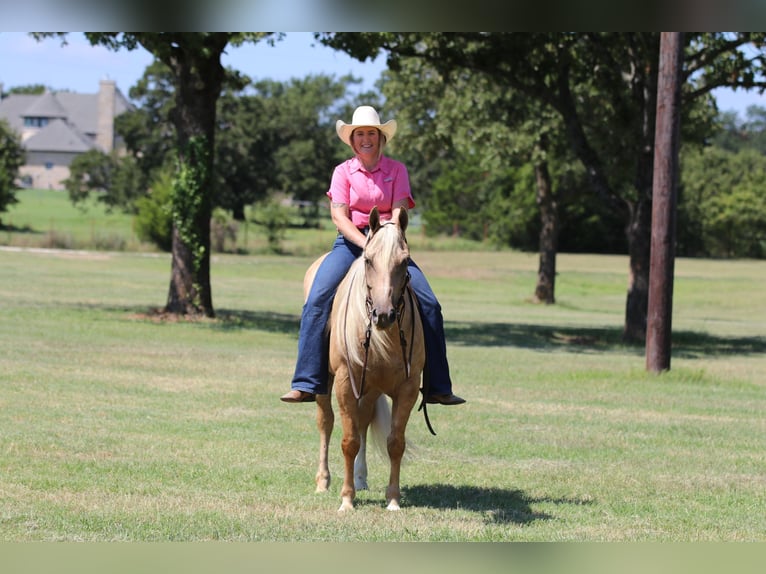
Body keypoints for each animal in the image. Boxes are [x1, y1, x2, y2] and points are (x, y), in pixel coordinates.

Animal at [303, 206, 425, 512]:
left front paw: (393, 499)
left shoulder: (407, 387)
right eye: (368, 260)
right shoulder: (345, 382)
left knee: (363, 422)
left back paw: (360, 478)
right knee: (327, 421)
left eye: (405, 261)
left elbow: (395, 442)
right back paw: (323, 481)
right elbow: (348, 441)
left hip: (369, 390)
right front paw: (347, 500)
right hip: (327, 383)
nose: (383, 315)